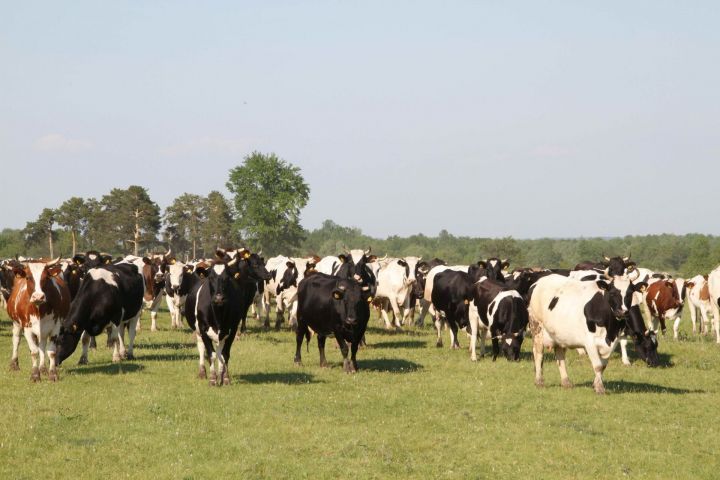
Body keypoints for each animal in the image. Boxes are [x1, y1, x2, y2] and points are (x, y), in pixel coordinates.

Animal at [183, 248, 270, 386]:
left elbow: (224, 354)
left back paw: (220, 372)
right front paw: (213, 378)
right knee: (202, 348)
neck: (218, 313)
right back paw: (202, 372)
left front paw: (225, 377)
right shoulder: (203, 329)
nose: (219, 298)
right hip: (197, 331)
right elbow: (211, 354)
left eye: (227, 278)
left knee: (219, 351)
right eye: (211, 278)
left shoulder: (232, 329)